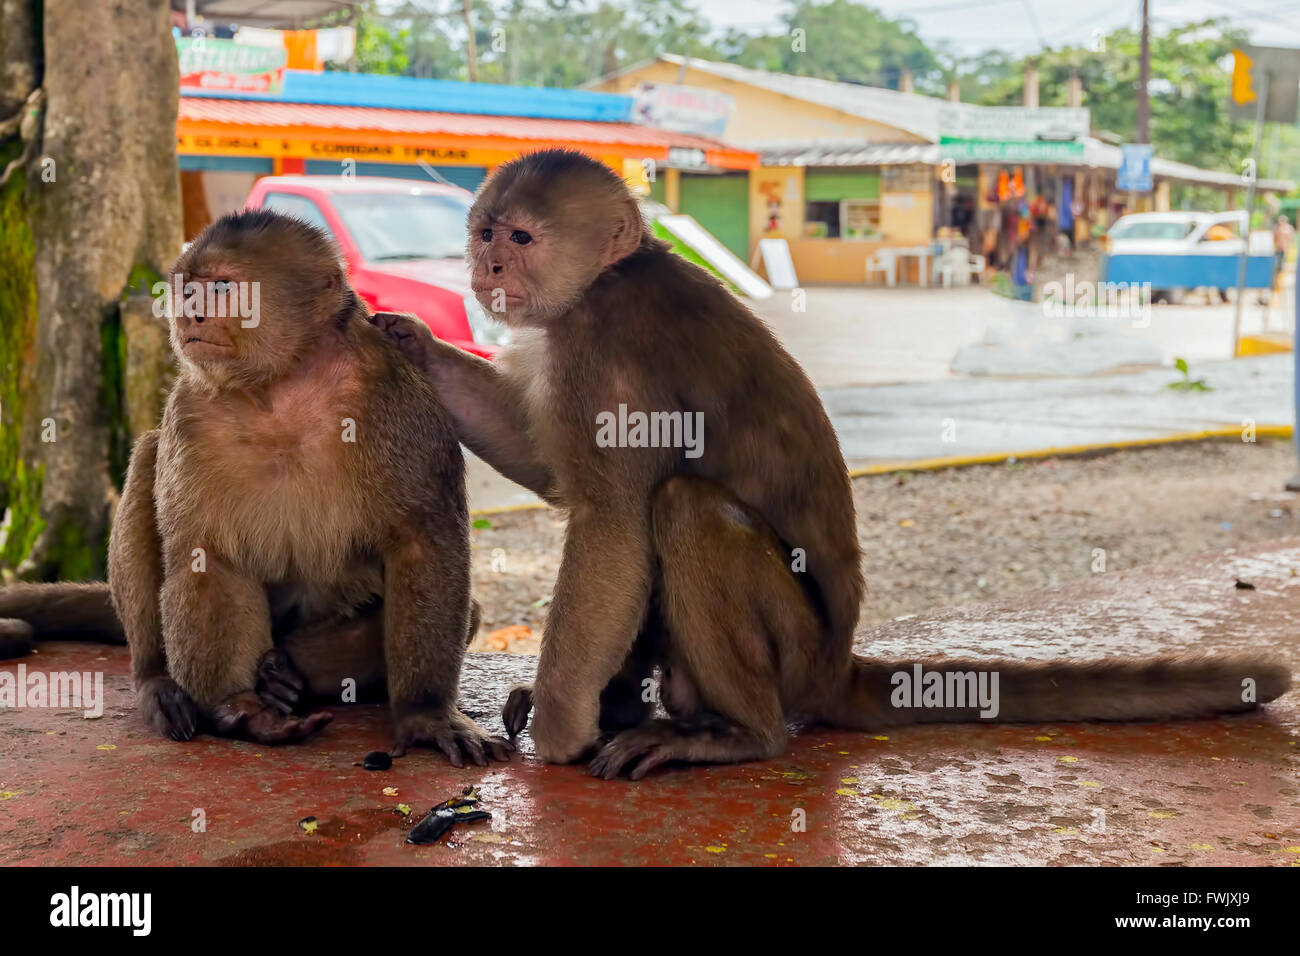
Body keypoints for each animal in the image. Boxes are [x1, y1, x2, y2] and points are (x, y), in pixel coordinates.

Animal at [0, 210, 506, 770]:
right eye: (188, 291)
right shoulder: (194, 409)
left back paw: (289, 673)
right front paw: (243, 710)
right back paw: (164, 680)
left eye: (222, 288)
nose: (192, 315)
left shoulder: (398, 395)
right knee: (149, 457)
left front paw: (425, 712)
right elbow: (208, 554)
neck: (283, 387)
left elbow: (424, 545)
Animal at [374, 147, 1289, 780]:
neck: (607, 279)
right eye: (483, 232)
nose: (487, 266)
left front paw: (564, 730)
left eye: (522, 237)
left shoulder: (606, 348)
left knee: (681, 508)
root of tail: (837, 663)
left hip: (798, 653)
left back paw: (740, 735)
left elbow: (609, 523)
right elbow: (553, 472)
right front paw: (411, 340)